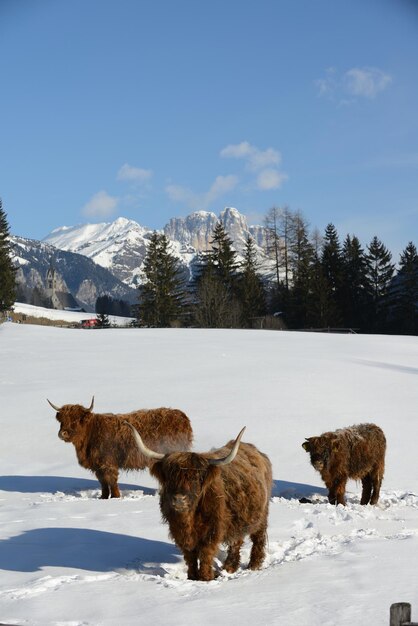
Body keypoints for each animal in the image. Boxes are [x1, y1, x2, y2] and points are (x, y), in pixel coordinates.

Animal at [47, 394, 193, 498]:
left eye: (76, 420)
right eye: (62, 420)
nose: (63, 433)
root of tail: (182, 416)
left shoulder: (108, 464)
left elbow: (112, 481)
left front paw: (116, 497)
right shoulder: (98, 466)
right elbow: (103, 483)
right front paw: (103, 498)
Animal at [125, 422, 272, 584]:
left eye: (195, 478)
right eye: (169, 477)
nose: (179, 499)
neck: (190, 518)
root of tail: (256, 451)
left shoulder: (212, 531)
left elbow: (206, 555)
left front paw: (206, 578)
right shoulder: (180, 532)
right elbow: (190, 556)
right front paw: (192, 577)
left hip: (262, 514)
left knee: (258, 538)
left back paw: (254, 565)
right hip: (238, 518)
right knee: (236, 541)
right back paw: (229, 567)